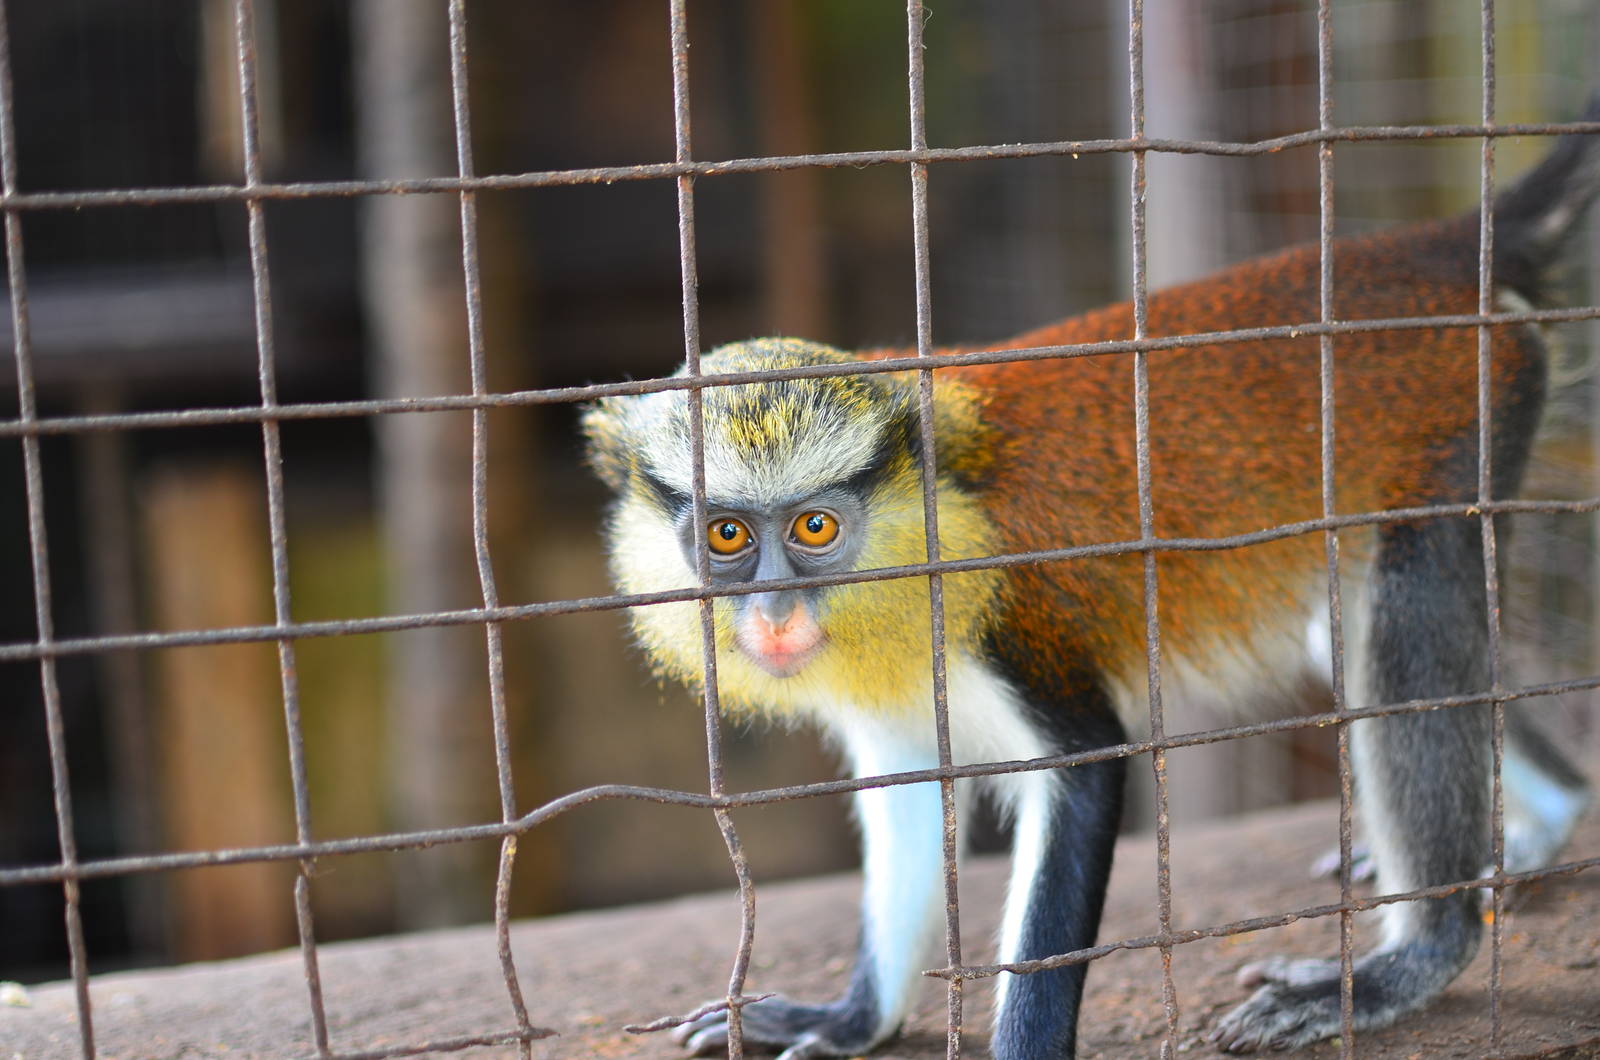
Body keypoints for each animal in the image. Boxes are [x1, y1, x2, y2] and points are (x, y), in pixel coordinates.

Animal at [581, 104, 1600, 1058]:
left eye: (814, 528)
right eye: (727, 535)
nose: (774, 616)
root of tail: (1424, 249)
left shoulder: (1005, 628)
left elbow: (1085, 770)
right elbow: (906, 790)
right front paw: (852, 1018)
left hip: (1467, 421)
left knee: (1408, 616)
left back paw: (1424, 949)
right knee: (1354, 630)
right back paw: (1544, 822)